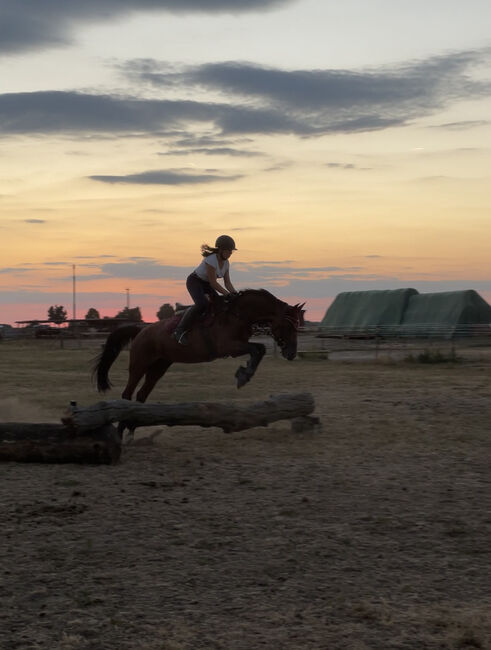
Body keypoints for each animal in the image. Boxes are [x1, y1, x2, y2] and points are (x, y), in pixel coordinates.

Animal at [93, 288, 304, 416]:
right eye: (288, 326)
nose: (292, 353)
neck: (238, 315)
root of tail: (141, 330)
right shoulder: (228, 346)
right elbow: (257, 348)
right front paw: (244, 375)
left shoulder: (237, 346)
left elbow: (259, 349)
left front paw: (244, 374)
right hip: (140, 364)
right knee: (127, 393)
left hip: (159, 367)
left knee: (142, 394)